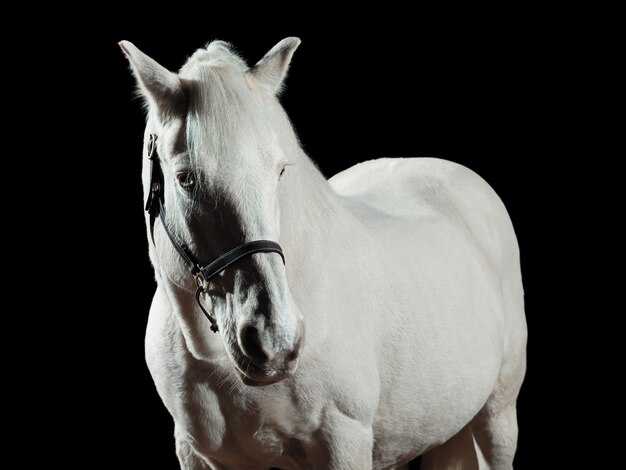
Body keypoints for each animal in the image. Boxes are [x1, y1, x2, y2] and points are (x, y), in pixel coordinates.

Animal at [119, 37, 524, 470]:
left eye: (280, 171)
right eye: (186, 178)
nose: (275, 340)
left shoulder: (343, 442)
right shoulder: (197, 452)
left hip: (497, 418)